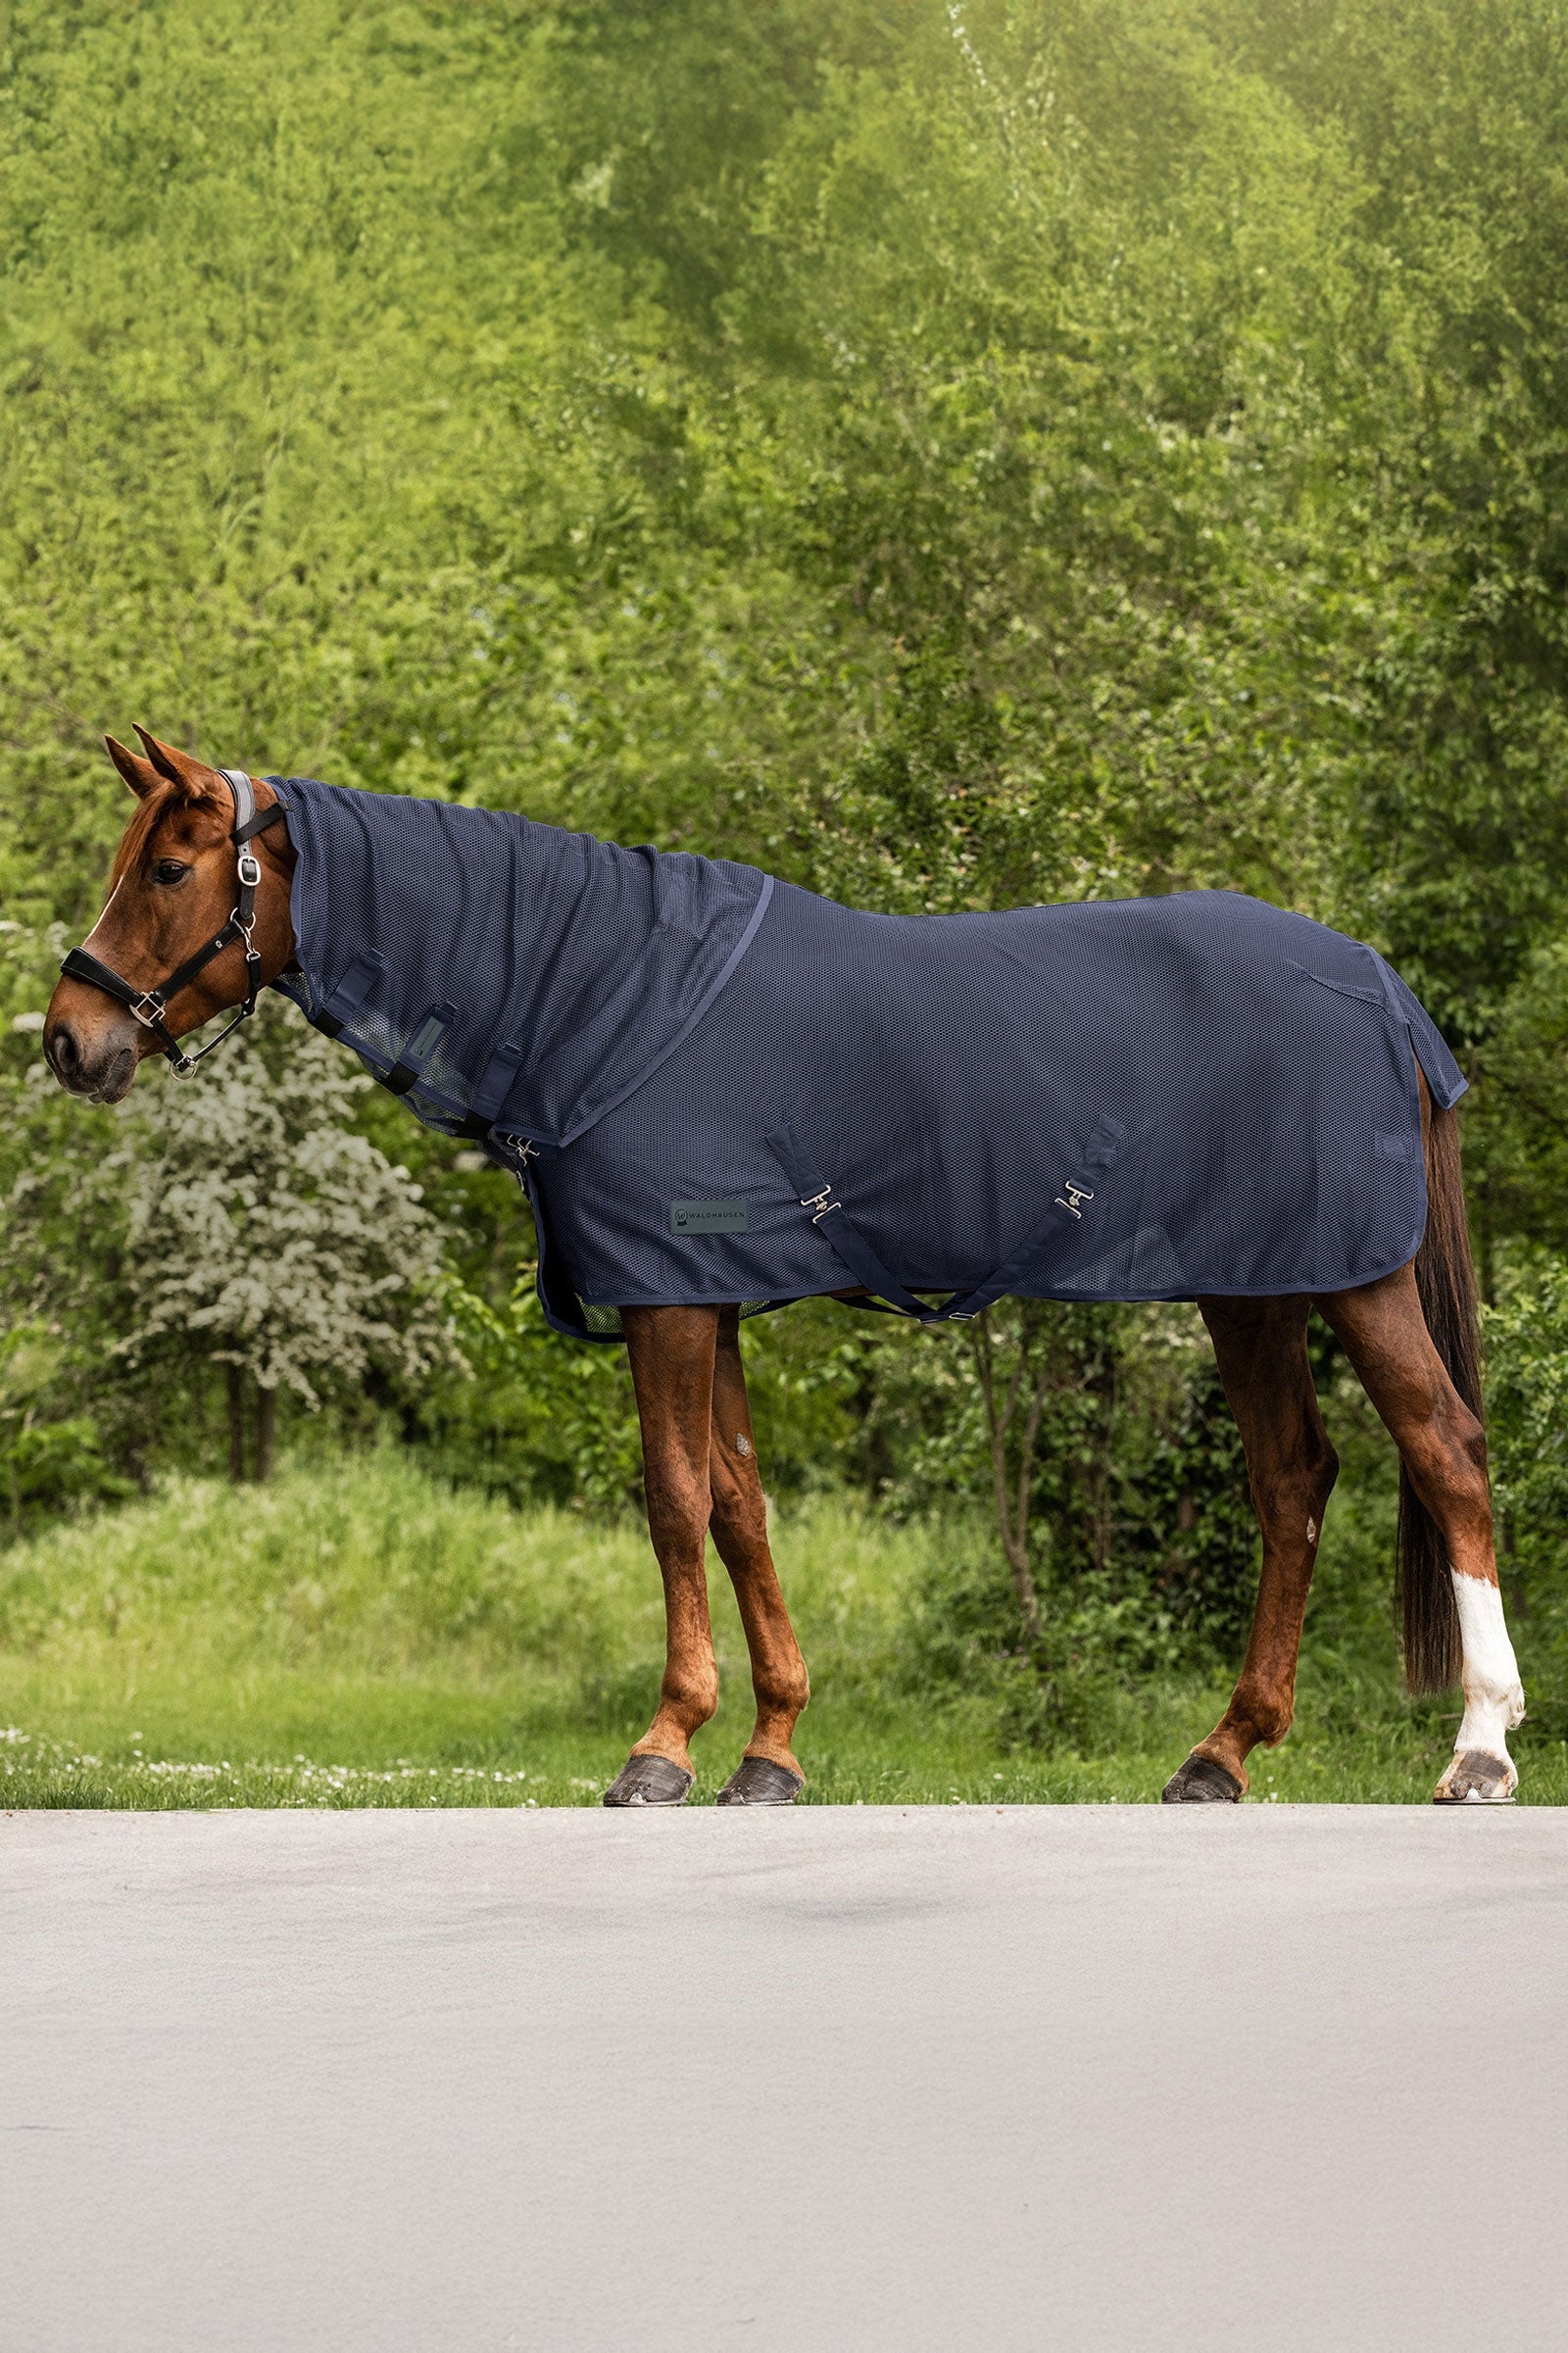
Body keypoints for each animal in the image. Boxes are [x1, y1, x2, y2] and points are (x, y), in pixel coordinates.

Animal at [44, 728, 1527, 1807]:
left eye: (167, 870)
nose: (67, 1039)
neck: (606, 995)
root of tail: (1378, 985)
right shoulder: (712, 1297)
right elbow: (740, 1506)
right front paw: (770, 1752)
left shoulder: (668, 1296)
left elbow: (671, 1502)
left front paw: (661, 1746)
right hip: (1253, 1289)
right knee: (1295, 1482)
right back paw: (1219, 1754)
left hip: (1351, 1280)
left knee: (1444, 1451)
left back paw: (1479, 1749)